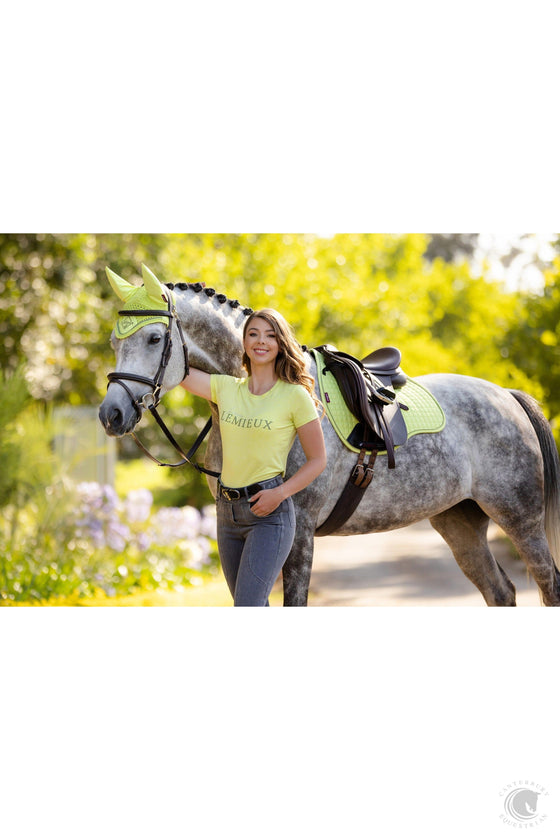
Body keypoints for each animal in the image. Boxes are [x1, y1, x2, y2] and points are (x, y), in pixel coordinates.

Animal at [98, 265, 560, 606]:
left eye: (154, 338)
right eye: (113, 343)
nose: (111, 414)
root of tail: (508, 396)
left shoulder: (298, 530)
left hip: (520, 521)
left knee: (548, 585)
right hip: (459, 521)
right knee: (501, 592)